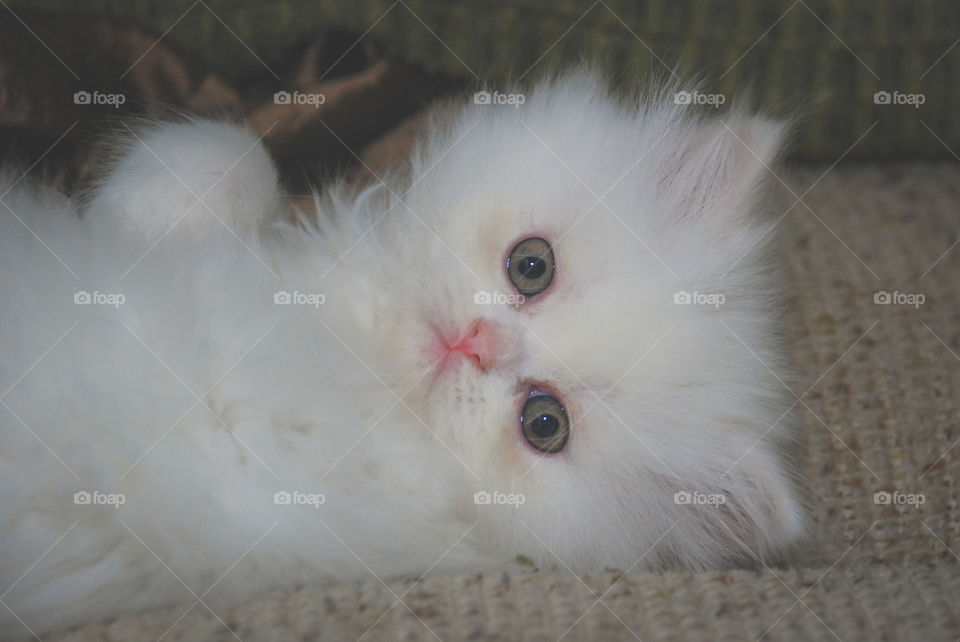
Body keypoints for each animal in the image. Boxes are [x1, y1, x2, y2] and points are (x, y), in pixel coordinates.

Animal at [0, 71, 804, 636]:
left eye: (544, 424)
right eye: (532, 266)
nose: (475, 342)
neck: (359, 337)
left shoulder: (279, 499)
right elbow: (230, 157)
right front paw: (134, 215)